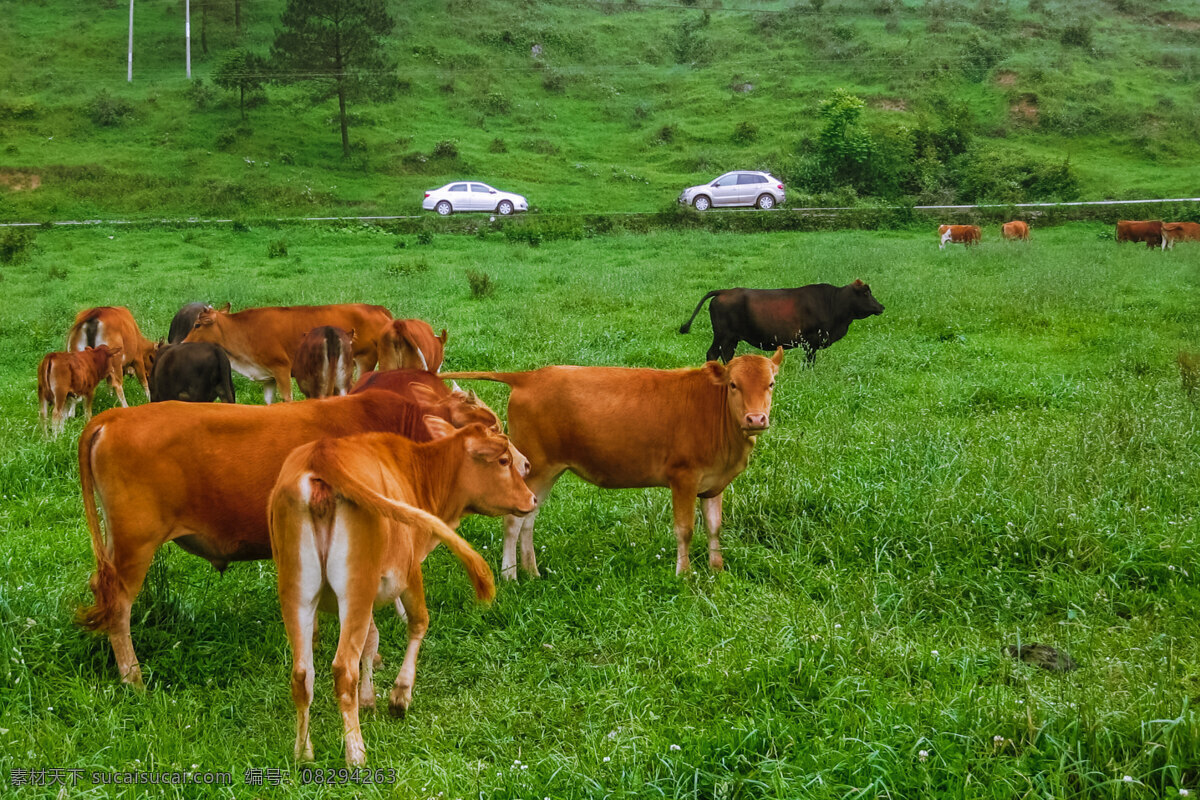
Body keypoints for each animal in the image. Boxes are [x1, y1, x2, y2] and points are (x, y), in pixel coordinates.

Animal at [274, 419, 537, 762]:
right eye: (504, 461)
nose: (532, 498)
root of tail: (322, 454)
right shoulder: (409, 572)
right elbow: (419, 623)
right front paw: (400, 695)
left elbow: (372, 640)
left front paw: (368, 699)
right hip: (354, 588)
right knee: (343, 668)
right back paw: (355, 753)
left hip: (297, 592)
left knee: (303, 674)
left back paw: (302, 753)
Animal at [446, 350, 782, 582]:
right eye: (734, 385)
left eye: (771, 383)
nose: (756, 419)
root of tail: (529, 376)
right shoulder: (683, 477)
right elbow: (684, 529)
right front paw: (684, 574)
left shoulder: (713, 484)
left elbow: (714, 527)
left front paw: (717, 570)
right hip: (535, 467)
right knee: (513, 521)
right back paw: (510, 575)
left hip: (546, 470)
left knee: (529, 519)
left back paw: (532, 572)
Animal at [681, 281, 888, 362]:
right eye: (866, 293)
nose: (881, 306)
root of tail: (724, 291)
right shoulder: (811, 341)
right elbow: (809, 362)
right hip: (722, 335)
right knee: (713, 354)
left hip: (731, 338)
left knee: (726, 355)